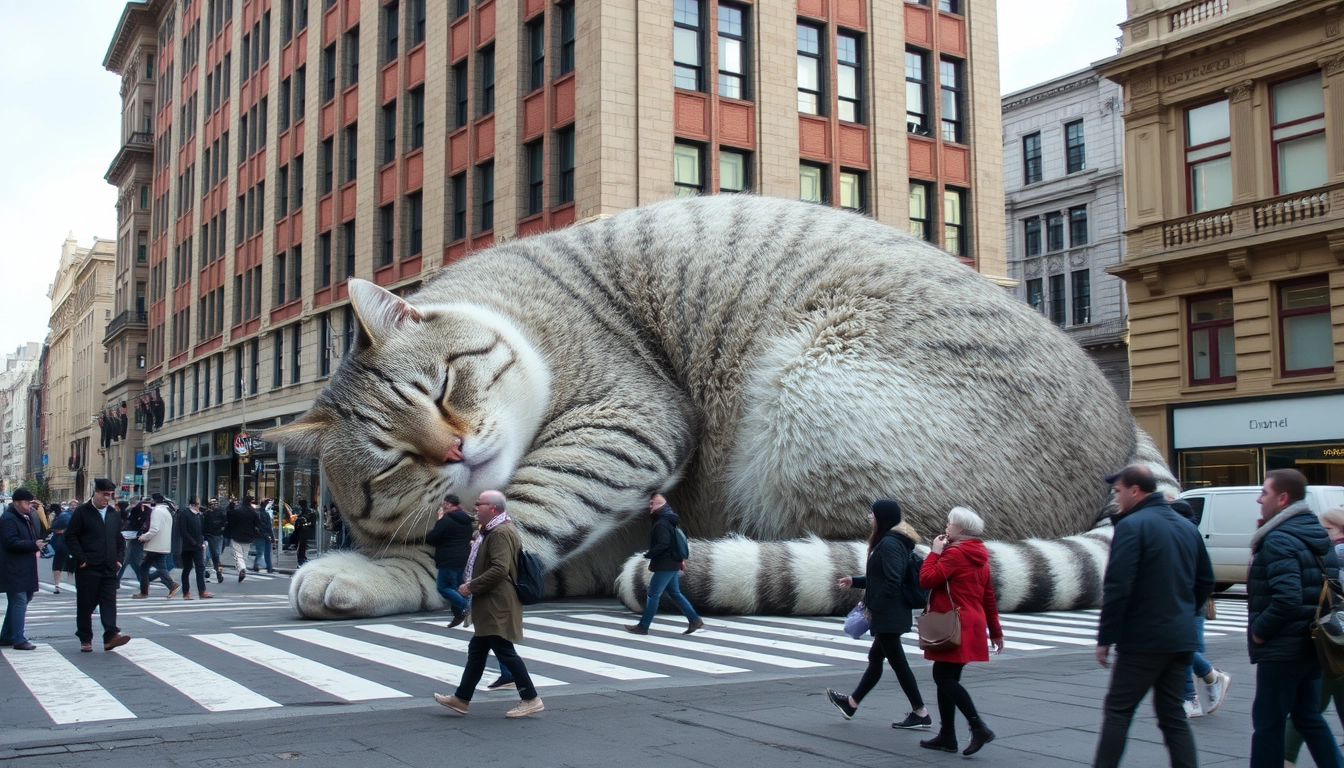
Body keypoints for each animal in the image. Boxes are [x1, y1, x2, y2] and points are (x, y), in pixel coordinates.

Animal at [267, 195, 1171, 621]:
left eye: (444, 388)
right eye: (391, 466)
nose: (454, 454)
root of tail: (1126, 432)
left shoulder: (625, 417)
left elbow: (489, 534)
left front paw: (368, 574)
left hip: (809, 390)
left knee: (887, 554)